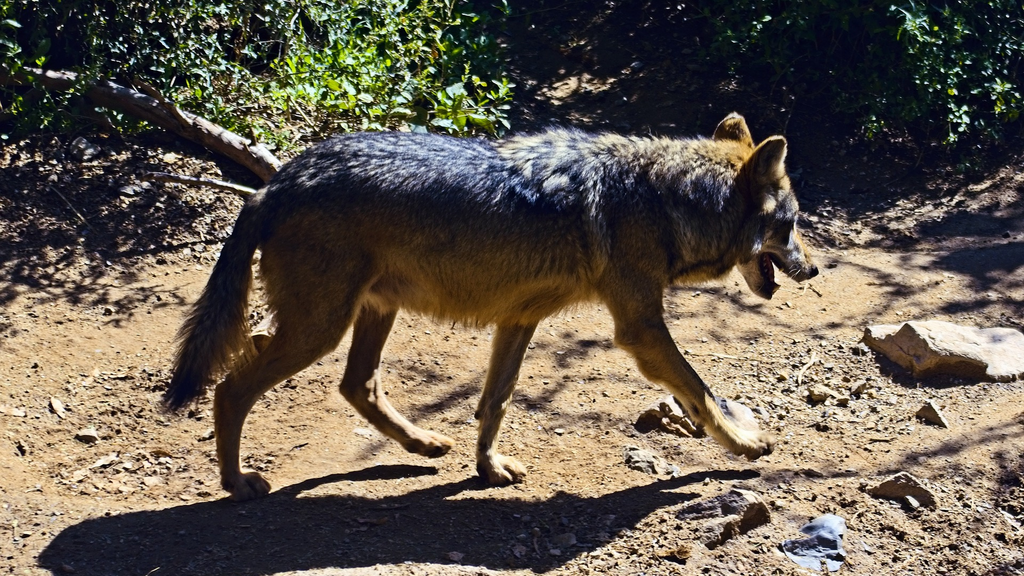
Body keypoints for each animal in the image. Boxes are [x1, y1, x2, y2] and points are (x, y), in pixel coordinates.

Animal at [169, 112, 823, 498]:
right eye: (792, 225)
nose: (815, 268)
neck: (662, 199)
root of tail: (272, 184)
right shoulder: (639, 328)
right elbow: (702, 392)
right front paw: (746, 443)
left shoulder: (519, 318)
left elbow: (495, 402)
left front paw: (488, 469)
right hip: (320, 329)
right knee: (231, 388)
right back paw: (235, 481)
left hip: (371, 314)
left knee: (358, 385)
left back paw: (423, 444)